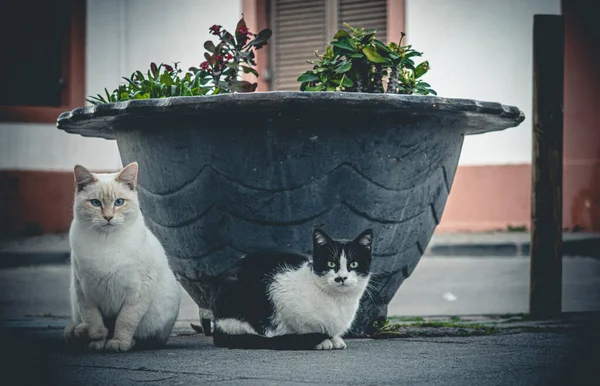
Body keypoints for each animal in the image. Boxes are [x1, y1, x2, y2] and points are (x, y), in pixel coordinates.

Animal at [64, 163, 180, 352]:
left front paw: (118, 342)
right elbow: (94, 320)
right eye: (95, 203)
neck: (106, 242)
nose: (108, 217)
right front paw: (97, 342)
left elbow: (125, 321)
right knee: (81, 325)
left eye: (119, 202)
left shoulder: (137, 293)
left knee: (141, 337)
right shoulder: (84, 292)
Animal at [210, 228, 370, 352]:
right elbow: (303, 328)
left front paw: (335, 339)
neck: (339, 301)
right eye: (331, 263)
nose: (341, 278)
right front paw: (321, 340)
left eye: (354, 264)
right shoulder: (281, 294)